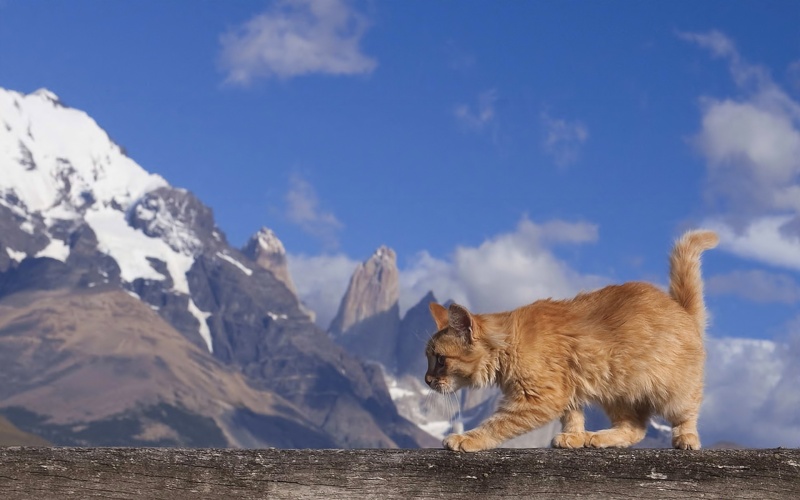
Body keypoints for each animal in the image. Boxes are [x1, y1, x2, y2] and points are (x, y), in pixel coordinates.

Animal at [424, 230, 720, 454]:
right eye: (428, 358)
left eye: (440, 359)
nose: (427, 380)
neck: (509, 343)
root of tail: (681, 308)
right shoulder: (568, 390)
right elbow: (572, 417)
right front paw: (574, 436)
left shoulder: (539, 397)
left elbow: (497, 423)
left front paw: (468, 438)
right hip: (617, 392)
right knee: (635, 429)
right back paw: (599, 437)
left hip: (672, 391)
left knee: (687, 413)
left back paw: (686, 438)